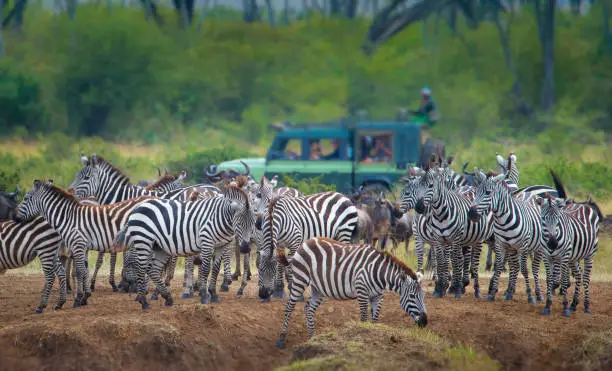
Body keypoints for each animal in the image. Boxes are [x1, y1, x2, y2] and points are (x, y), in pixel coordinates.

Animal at [15, 180, 154, 308]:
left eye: (26, 198)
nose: (14, 217)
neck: (69, 218)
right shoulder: (82, 247)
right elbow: (85, 270)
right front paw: (85, 297)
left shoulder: (78, 244)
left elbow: (80, 271)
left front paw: (78, 298)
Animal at [113, 186, 255, 310]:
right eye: (239, 223)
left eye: (253, 223)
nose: (246, 249)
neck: (221, 218)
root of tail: (137, 207)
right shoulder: (207, 241)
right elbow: (205, 269)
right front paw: (204, 296)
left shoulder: (222, 245)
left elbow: (215, 270)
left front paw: (214, 294)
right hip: (143, 240)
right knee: (142, 269)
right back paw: (144, 302)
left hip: (159, 247)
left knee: (153, 270)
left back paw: (167, 298)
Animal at [274, 238, 428, 348]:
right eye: (412, 296)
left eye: (423, 296)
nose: (425, 322)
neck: (378, 272)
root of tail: (305, 242)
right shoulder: (362, 291)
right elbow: (364, 318)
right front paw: (363, 336)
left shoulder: (378, 296)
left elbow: (375, 319)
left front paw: (374, 337)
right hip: (300, 279)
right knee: (289, 306)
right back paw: (281, 339)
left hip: (318, 288)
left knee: (309, 308)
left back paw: (312, 338)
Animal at [468, 170, 544, 304]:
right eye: (476, 193)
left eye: (488, 192)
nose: (471, 214)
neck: (503, 220)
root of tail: (531, 195)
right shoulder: (501, 244)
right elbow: (498, 266)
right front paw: (492, 294)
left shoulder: (523, 246)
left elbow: (524, 269)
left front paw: (530, 296)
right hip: (512, 249)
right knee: (514, 267)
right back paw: (509, 292)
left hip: (537, 247)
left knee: (534, 268)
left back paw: (538, 294)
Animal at [536, 170, 600, 316]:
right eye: (543, 219)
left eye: (558, 219)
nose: (552, 244)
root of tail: (581, 205)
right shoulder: (547, 257)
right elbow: (549, 279)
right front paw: (547, 305)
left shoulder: (563, 257)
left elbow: (564, 281)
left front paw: (564, 307)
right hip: (574, 257)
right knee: (579, 275)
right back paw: (574, 304)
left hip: (590, 254)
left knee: (586, 277)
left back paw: (586, 306)